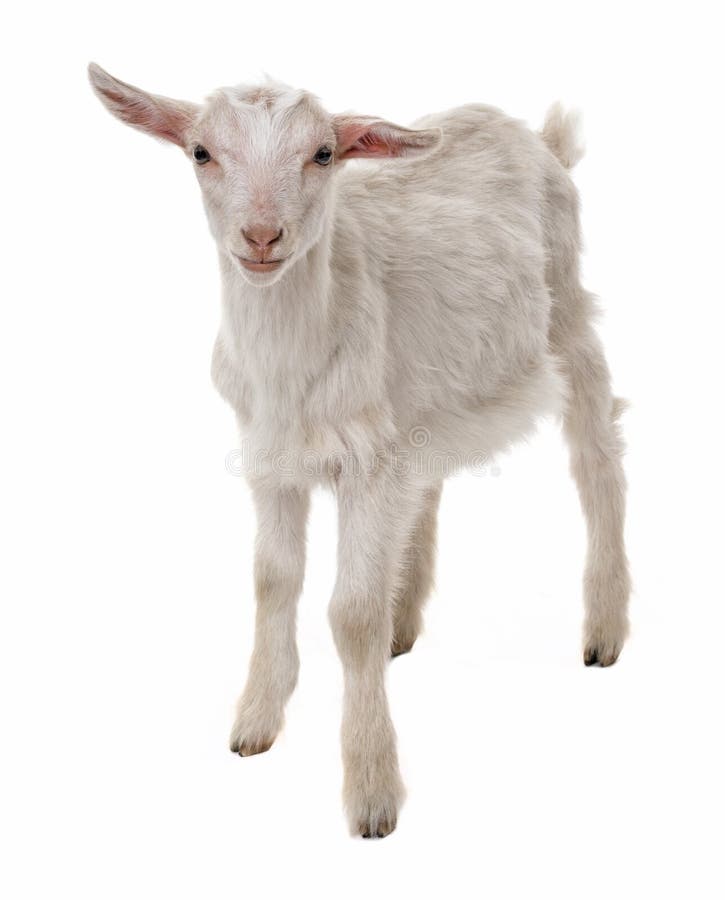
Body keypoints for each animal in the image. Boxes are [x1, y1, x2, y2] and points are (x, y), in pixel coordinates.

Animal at [89, 63, 631, 838]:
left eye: (323, 153)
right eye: (201, 152)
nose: (262, 236)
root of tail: (537, 135)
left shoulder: (367, 465)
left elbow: (350, 613)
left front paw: (372, 791)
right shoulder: (270, 456)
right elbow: (272, 578)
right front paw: (255, 720)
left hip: (567, 309)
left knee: (597, 454)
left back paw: (603, 630)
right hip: (431, 390)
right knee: (431, 478)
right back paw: (407, 618)